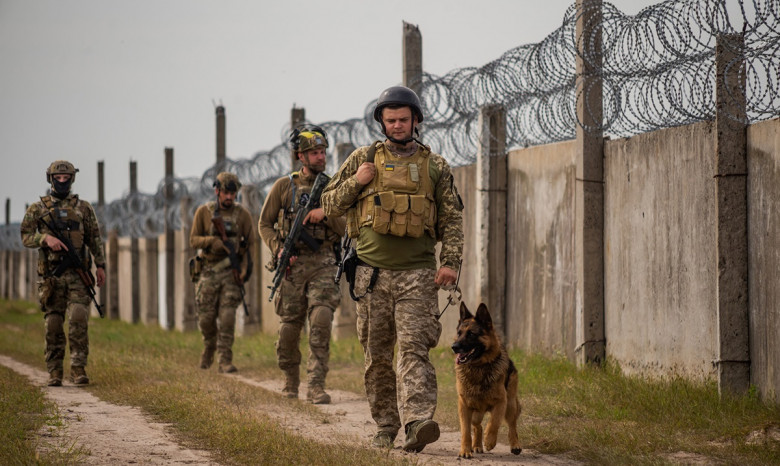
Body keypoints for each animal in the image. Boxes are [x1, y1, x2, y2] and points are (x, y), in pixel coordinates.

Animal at [450, 302, 524, 458]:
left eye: (471, 334)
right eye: (459, 333)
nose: (454, 347)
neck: (478, 367)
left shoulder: (501, 402)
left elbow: (494, 422)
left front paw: (490, 441)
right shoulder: (464, 406)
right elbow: (465, 431)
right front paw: (465, 450)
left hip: (510, 404)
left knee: (512, 425)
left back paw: (515, 444)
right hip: (475, 412)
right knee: (477, 426)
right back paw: (476, 446)